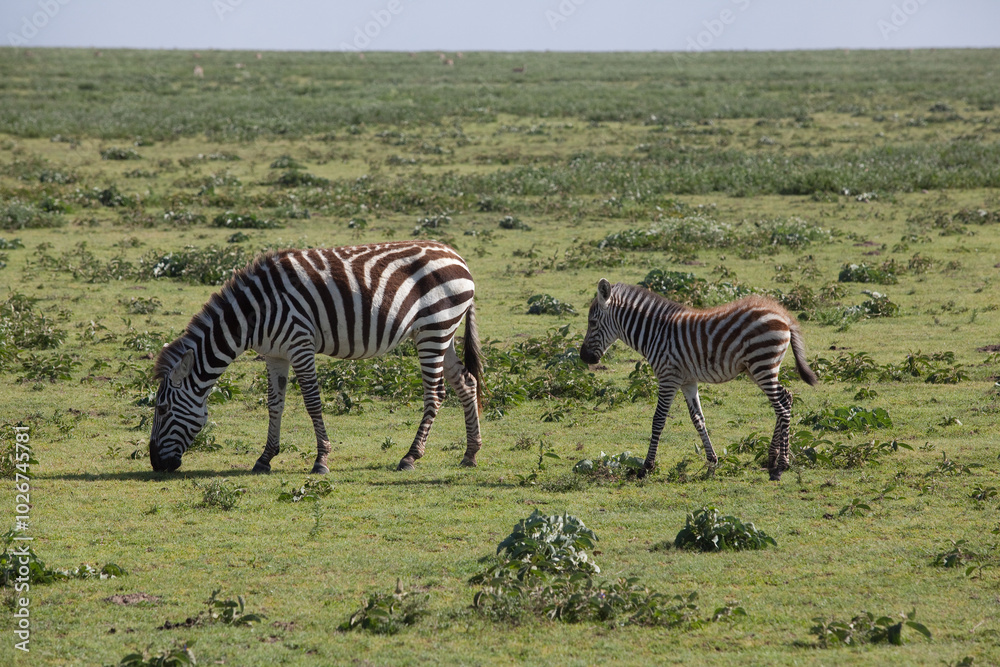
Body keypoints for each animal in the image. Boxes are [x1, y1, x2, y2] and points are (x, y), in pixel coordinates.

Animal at [149, 240, 484, 475]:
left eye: (163, 409)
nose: (155, 463)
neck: (253, 314)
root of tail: (458, 257)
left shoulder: (300, 345)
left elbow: (311, 402)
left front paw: (321, 459)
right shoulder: (275, 355)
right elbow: (274, 405)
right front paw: (265, 458)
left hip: (434, 328)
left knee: (435, 394)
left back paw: (410, 456)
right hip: (442, 332)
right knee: (466, 383)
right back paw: (470, 453)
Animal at [579, 279, 817, 481]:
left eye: (592, 322)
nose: (584, 357)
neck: (655, 333)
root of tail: (782, 314)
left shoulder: (668, 378)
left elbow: (658, 420)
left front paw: (646, 467)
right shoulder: (687, 382)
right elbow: (698, 419)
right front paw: (712, 462)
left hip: (762, 364)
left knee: (782, 406)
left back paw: (782, 464)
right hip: (759, 367)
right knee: (786, 398)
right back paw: (771, 458)